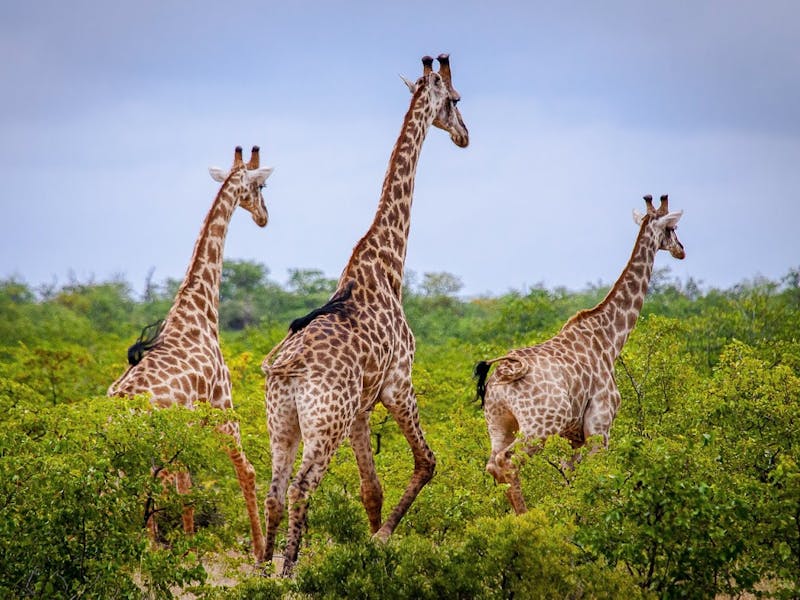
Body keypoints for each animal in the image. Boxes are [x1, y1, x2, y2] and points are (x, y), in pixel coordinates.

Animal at [108, 145, 276, 564]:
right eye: (261, 186)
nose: (264, 217)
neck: (199, 308)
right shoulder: (222, 405)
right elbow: (246, 471)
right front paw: (259, 551)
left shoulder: (185, 431)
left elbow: (185, 486)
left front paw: (188, 550)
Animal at [260, 55, 468, 576]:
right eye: (456, 100)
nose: (465, 135)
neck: (387, 266)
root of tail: (288, 368)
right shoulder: (398, 383)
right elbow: (427, 462)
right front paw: (382, 541)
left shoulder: (361, 408)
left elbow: (370, 489)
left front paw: (372, 545)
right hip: (323, 422)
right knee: (301, 486)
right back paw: (289, 570)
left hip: (283, 420)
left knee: (274, 490)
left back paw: (261, 570)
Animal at [476, 195, 688, 512]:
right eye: (672, 227)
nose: (681, 250)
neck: (609, 339)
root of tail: (505, 371)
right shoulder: (600, 423)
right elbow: (599, 475)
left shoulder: (573, 435)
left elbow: (570, 476)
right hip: (540, 425)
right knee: (509, 462)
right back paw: (524, 518)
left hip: (499, 422)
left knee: (493, 464)